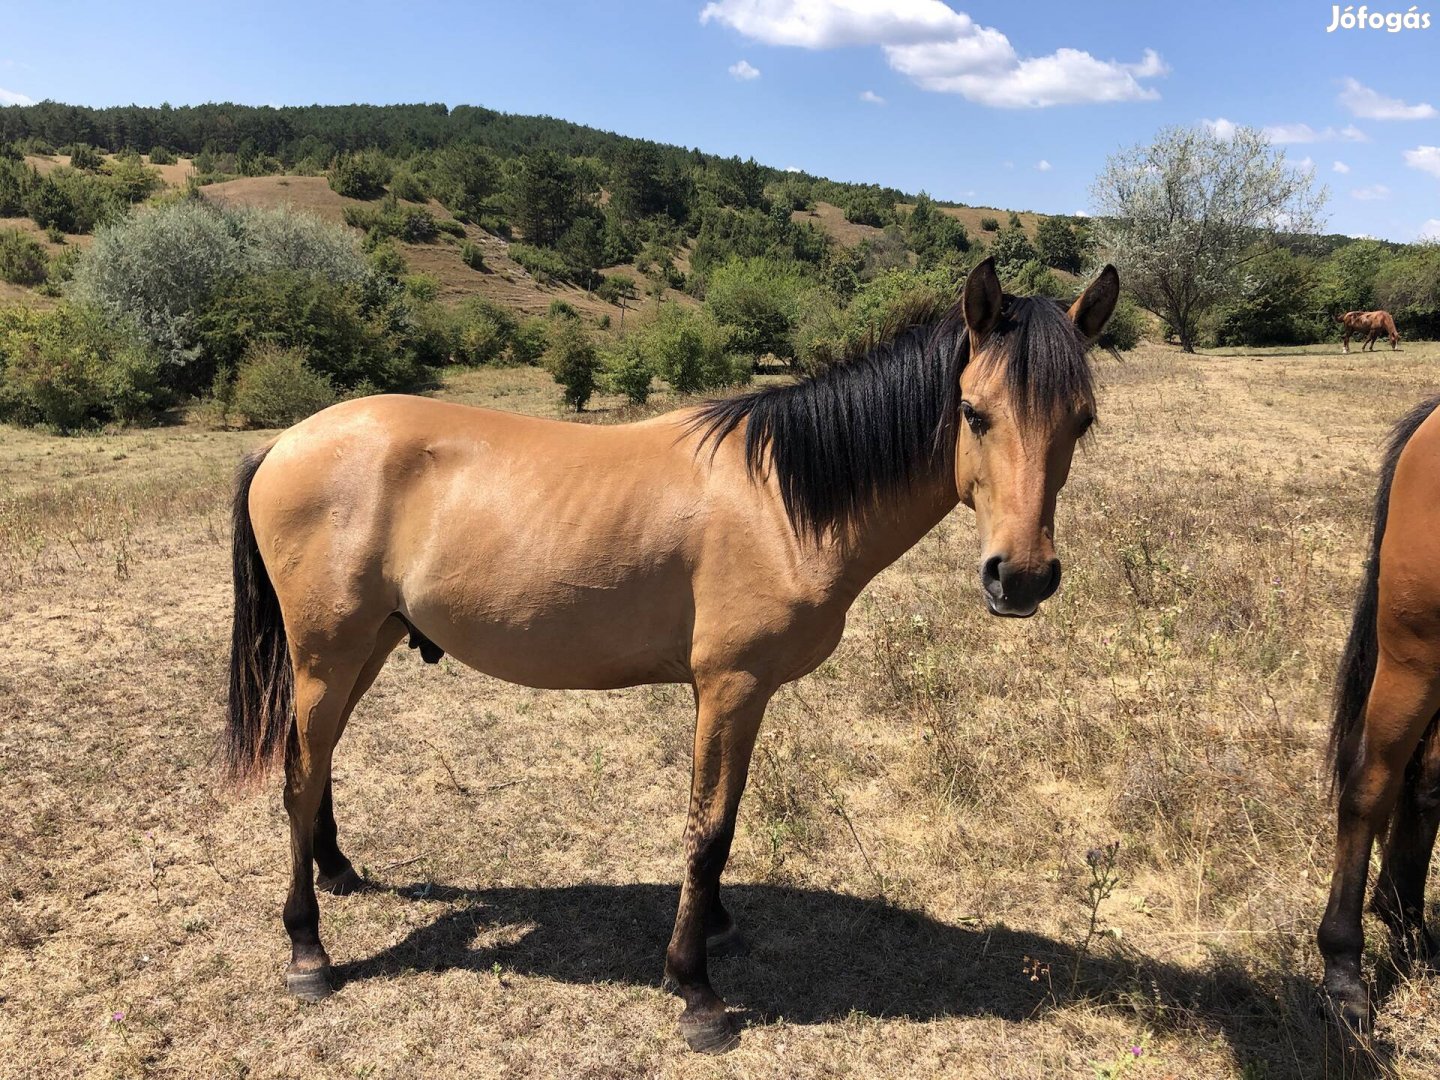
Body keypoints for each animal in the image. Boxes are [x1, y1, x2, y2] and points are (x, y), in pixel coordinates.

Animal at [227, 257, 1123, 1054]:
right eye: (973, 412)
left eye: (1082, 421)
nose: (1022, 577)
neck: (780, 500)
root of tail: (284, 443)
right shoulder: (730, 686)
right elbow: (709, 828)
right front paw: (696, 990)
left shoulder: (745, 696)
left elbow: (722, 820)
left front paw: (716, 926)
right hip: (327, 650)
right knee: (299, 775)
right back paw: (308, 950)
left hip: (365, 643)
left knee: (320, 758)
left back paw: (339, 870)